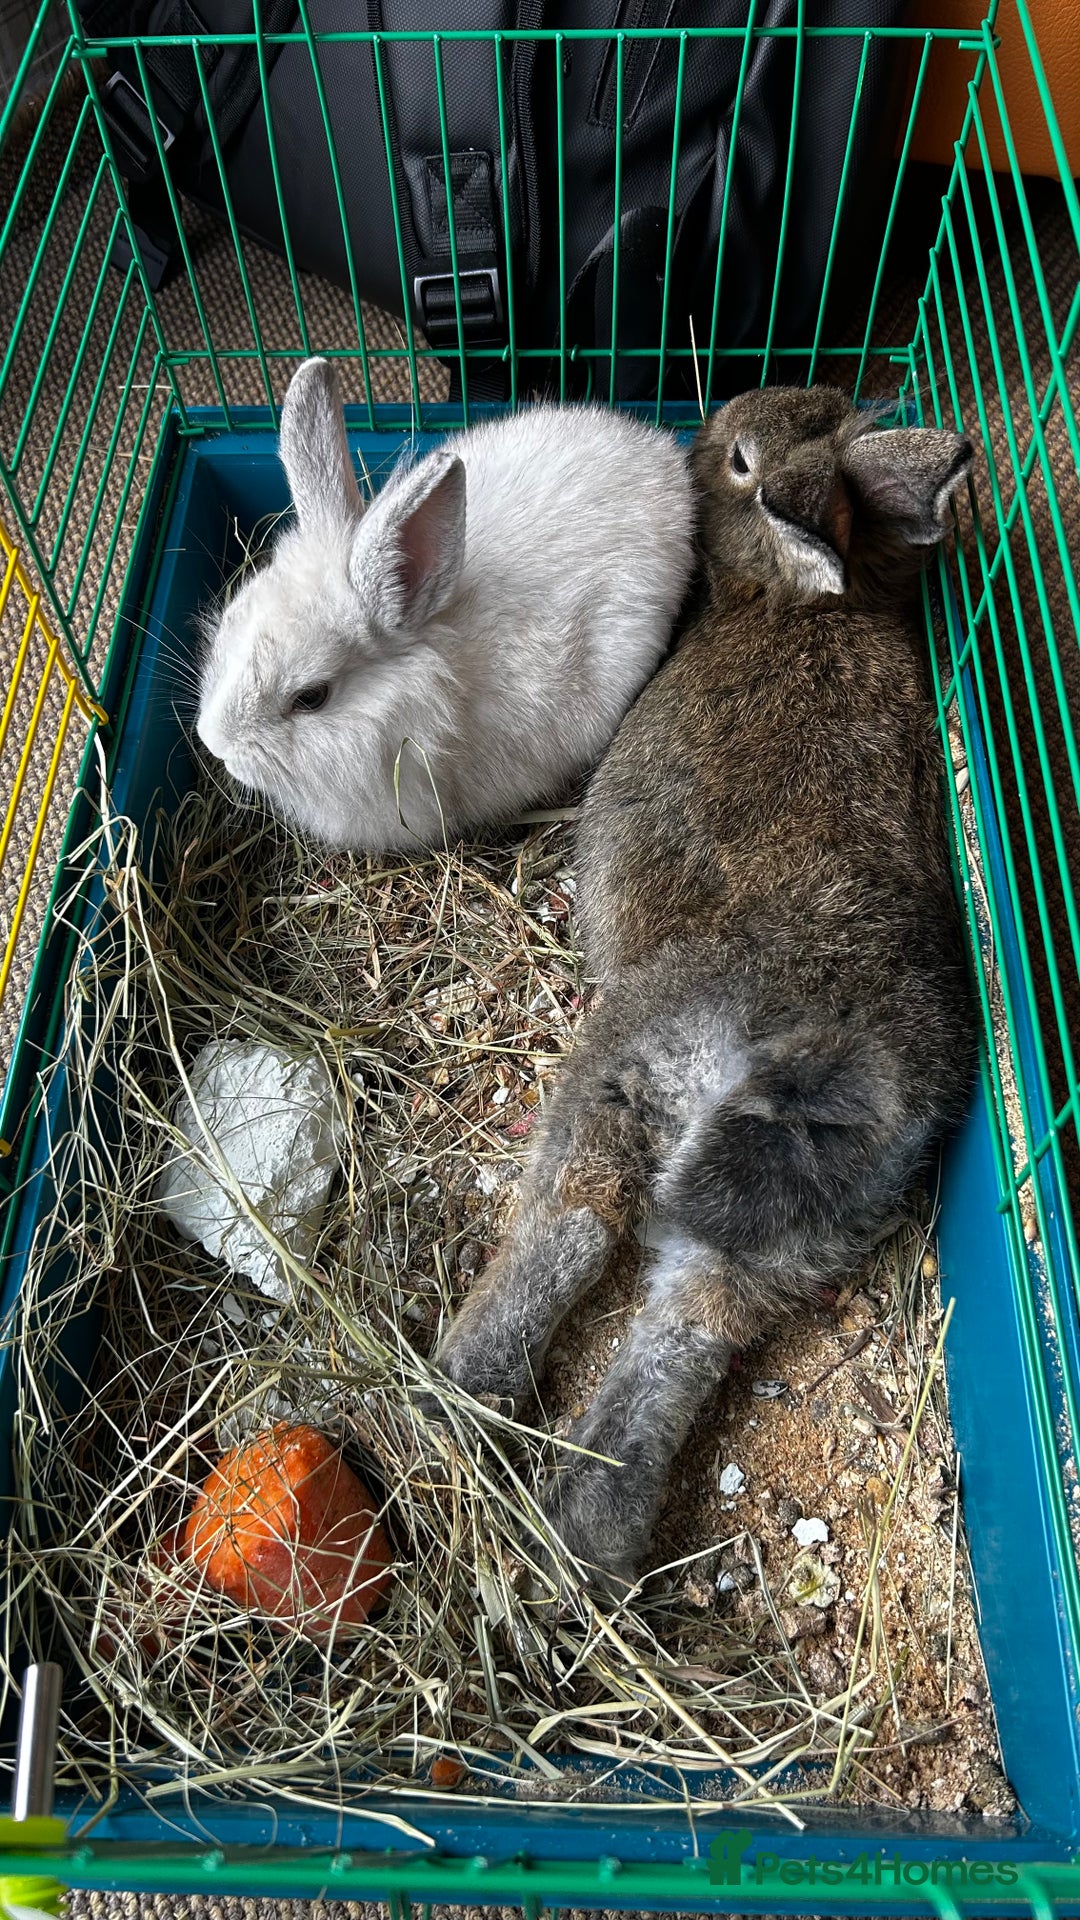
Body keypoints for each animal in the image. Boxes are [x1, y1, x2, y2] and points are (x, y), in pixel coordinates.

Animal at [428, 385, 977, 1594]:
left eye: (738, 462)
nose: (708, 422)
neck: (796, 603)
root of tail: (820, 1051)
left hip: (629, 1068)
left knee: (577, 1220)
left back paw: (462, 1389)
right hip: (801, 1225)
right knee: (689, 1328)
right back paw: (590, 1524)